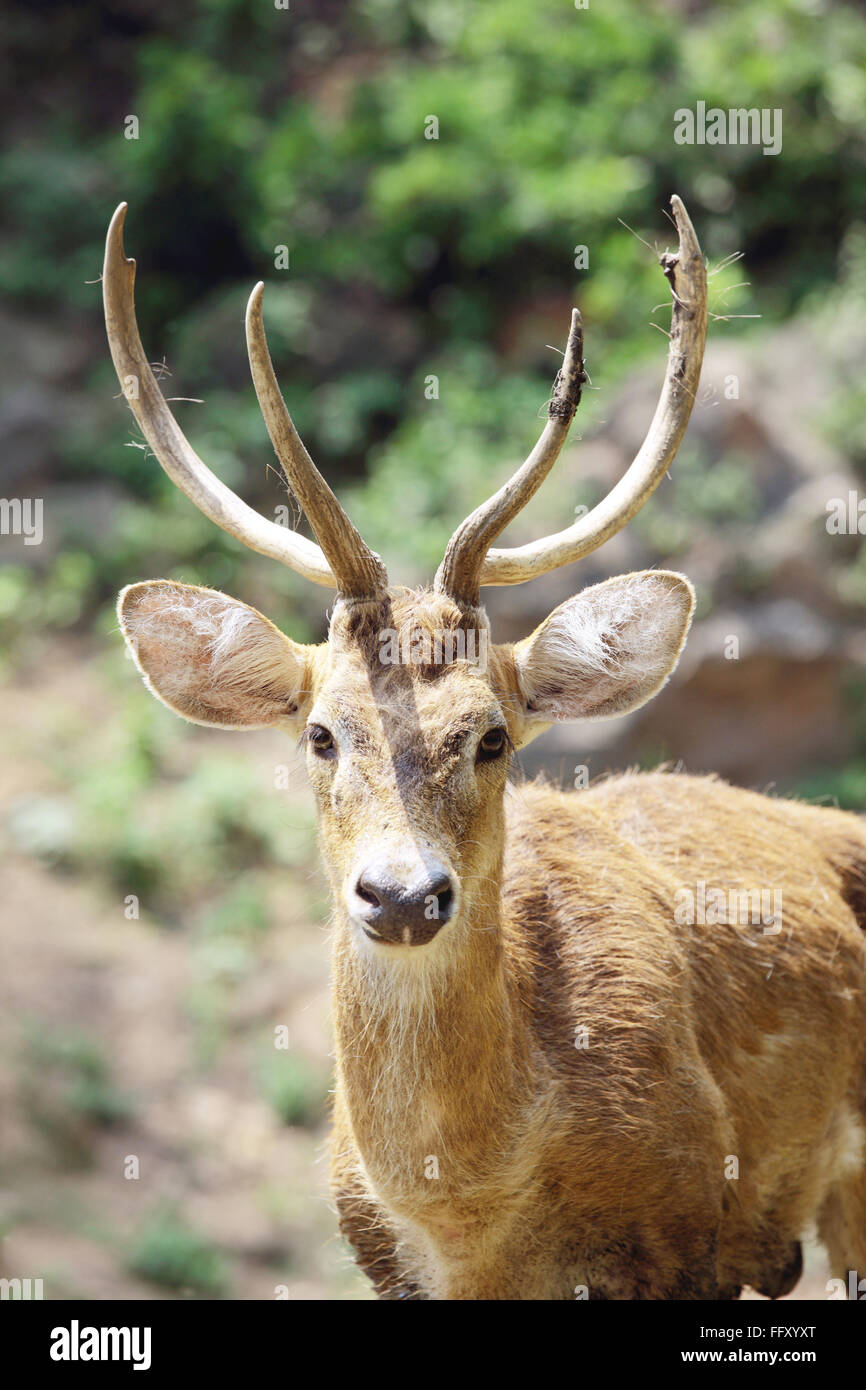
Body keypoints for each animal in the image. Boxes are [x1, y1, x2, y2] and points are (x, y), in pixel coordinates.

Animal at [103, 196, 866, 1300]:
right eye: (320, 733)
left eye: (492, 736)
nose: (401, 894)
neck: (469, 1211)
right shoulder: (381, 1258)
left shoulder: (693, 1225)